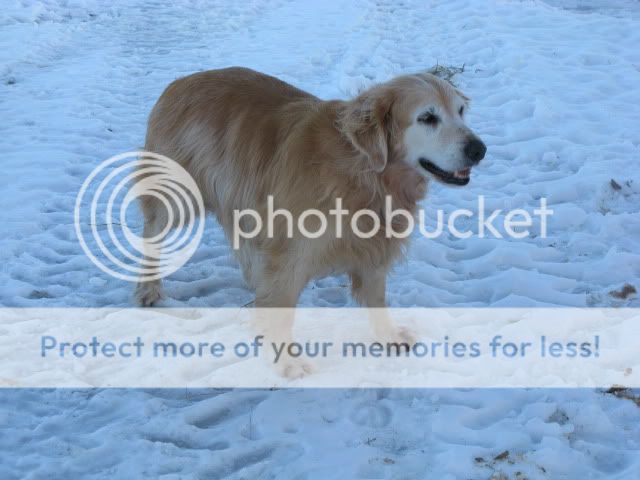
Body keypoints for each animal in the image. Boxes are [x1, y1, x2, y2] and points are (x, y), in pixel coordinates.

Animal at [135, 66, 484, 376]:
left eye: (461, 111)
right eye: (427, 118)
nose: (479, 149)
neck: (363, 172)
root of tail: (179, 82)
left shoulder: (374, 246)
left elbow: (376, 297)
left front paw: (388, 336)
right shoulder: (291, 253)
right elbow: (282, 307)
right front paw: (286, 361)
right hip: (178, 194)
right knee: (152, 233)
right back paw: (148, 289)